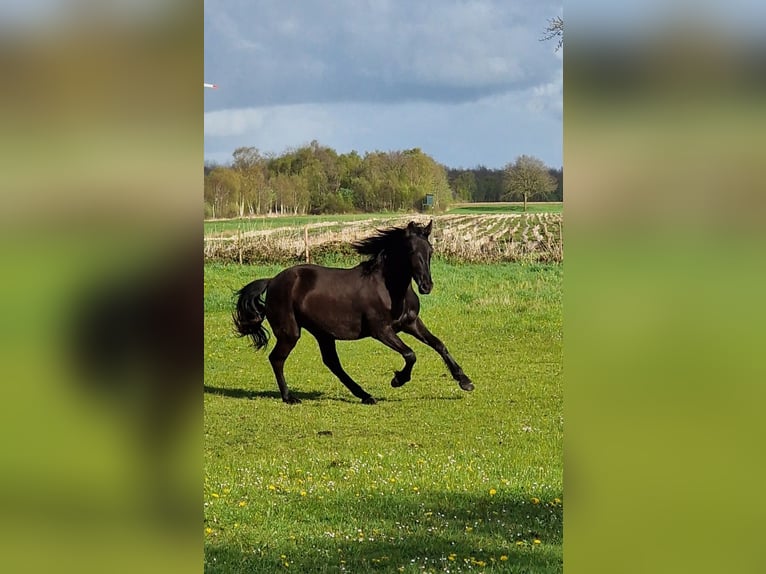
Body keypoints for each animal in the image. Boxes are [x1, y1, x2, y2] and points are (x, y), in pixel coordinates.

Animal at [234, 220, 474, 404]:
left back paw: (365, 395)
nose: (426, 286)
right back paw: (289, 397)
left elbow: (439, 344)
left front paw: (465, 381)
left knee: (332, 363)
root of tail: (272, 281)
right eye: (411, 251)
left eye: (430, 251)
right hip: (290, 332)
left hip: (323, 333)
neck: (390, 289)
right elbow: (410, 354)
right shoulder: (381, 330)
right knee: (277, 359)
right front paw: (398, 380)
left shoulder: (411, 323)